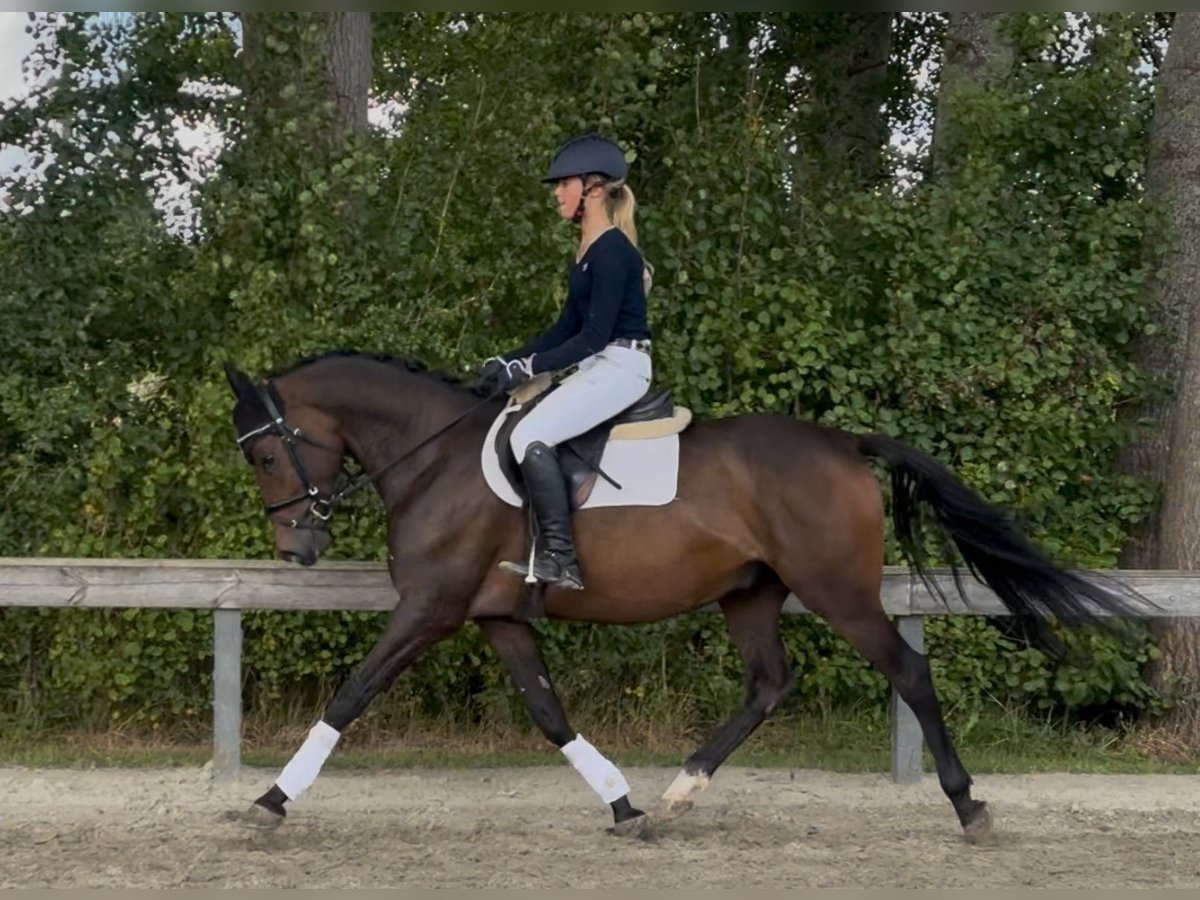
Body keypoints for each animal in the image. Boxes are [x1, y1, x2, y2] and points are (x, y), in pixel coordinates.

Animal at [223, 350, 1152, 841]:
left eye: (266, 455)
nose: (296, 549)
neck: (435, 460)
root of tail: (842, 443)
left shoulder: (432, 609)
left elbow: (351, 694)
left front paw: (270, 801)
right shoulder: (496, 618)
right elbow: (550, 713)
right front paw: (624, 805)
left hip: (838, 591)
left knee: (908, 675)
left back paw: (967, 805)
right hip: (751, 594)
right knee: (768, 684)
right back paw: (679, 790)